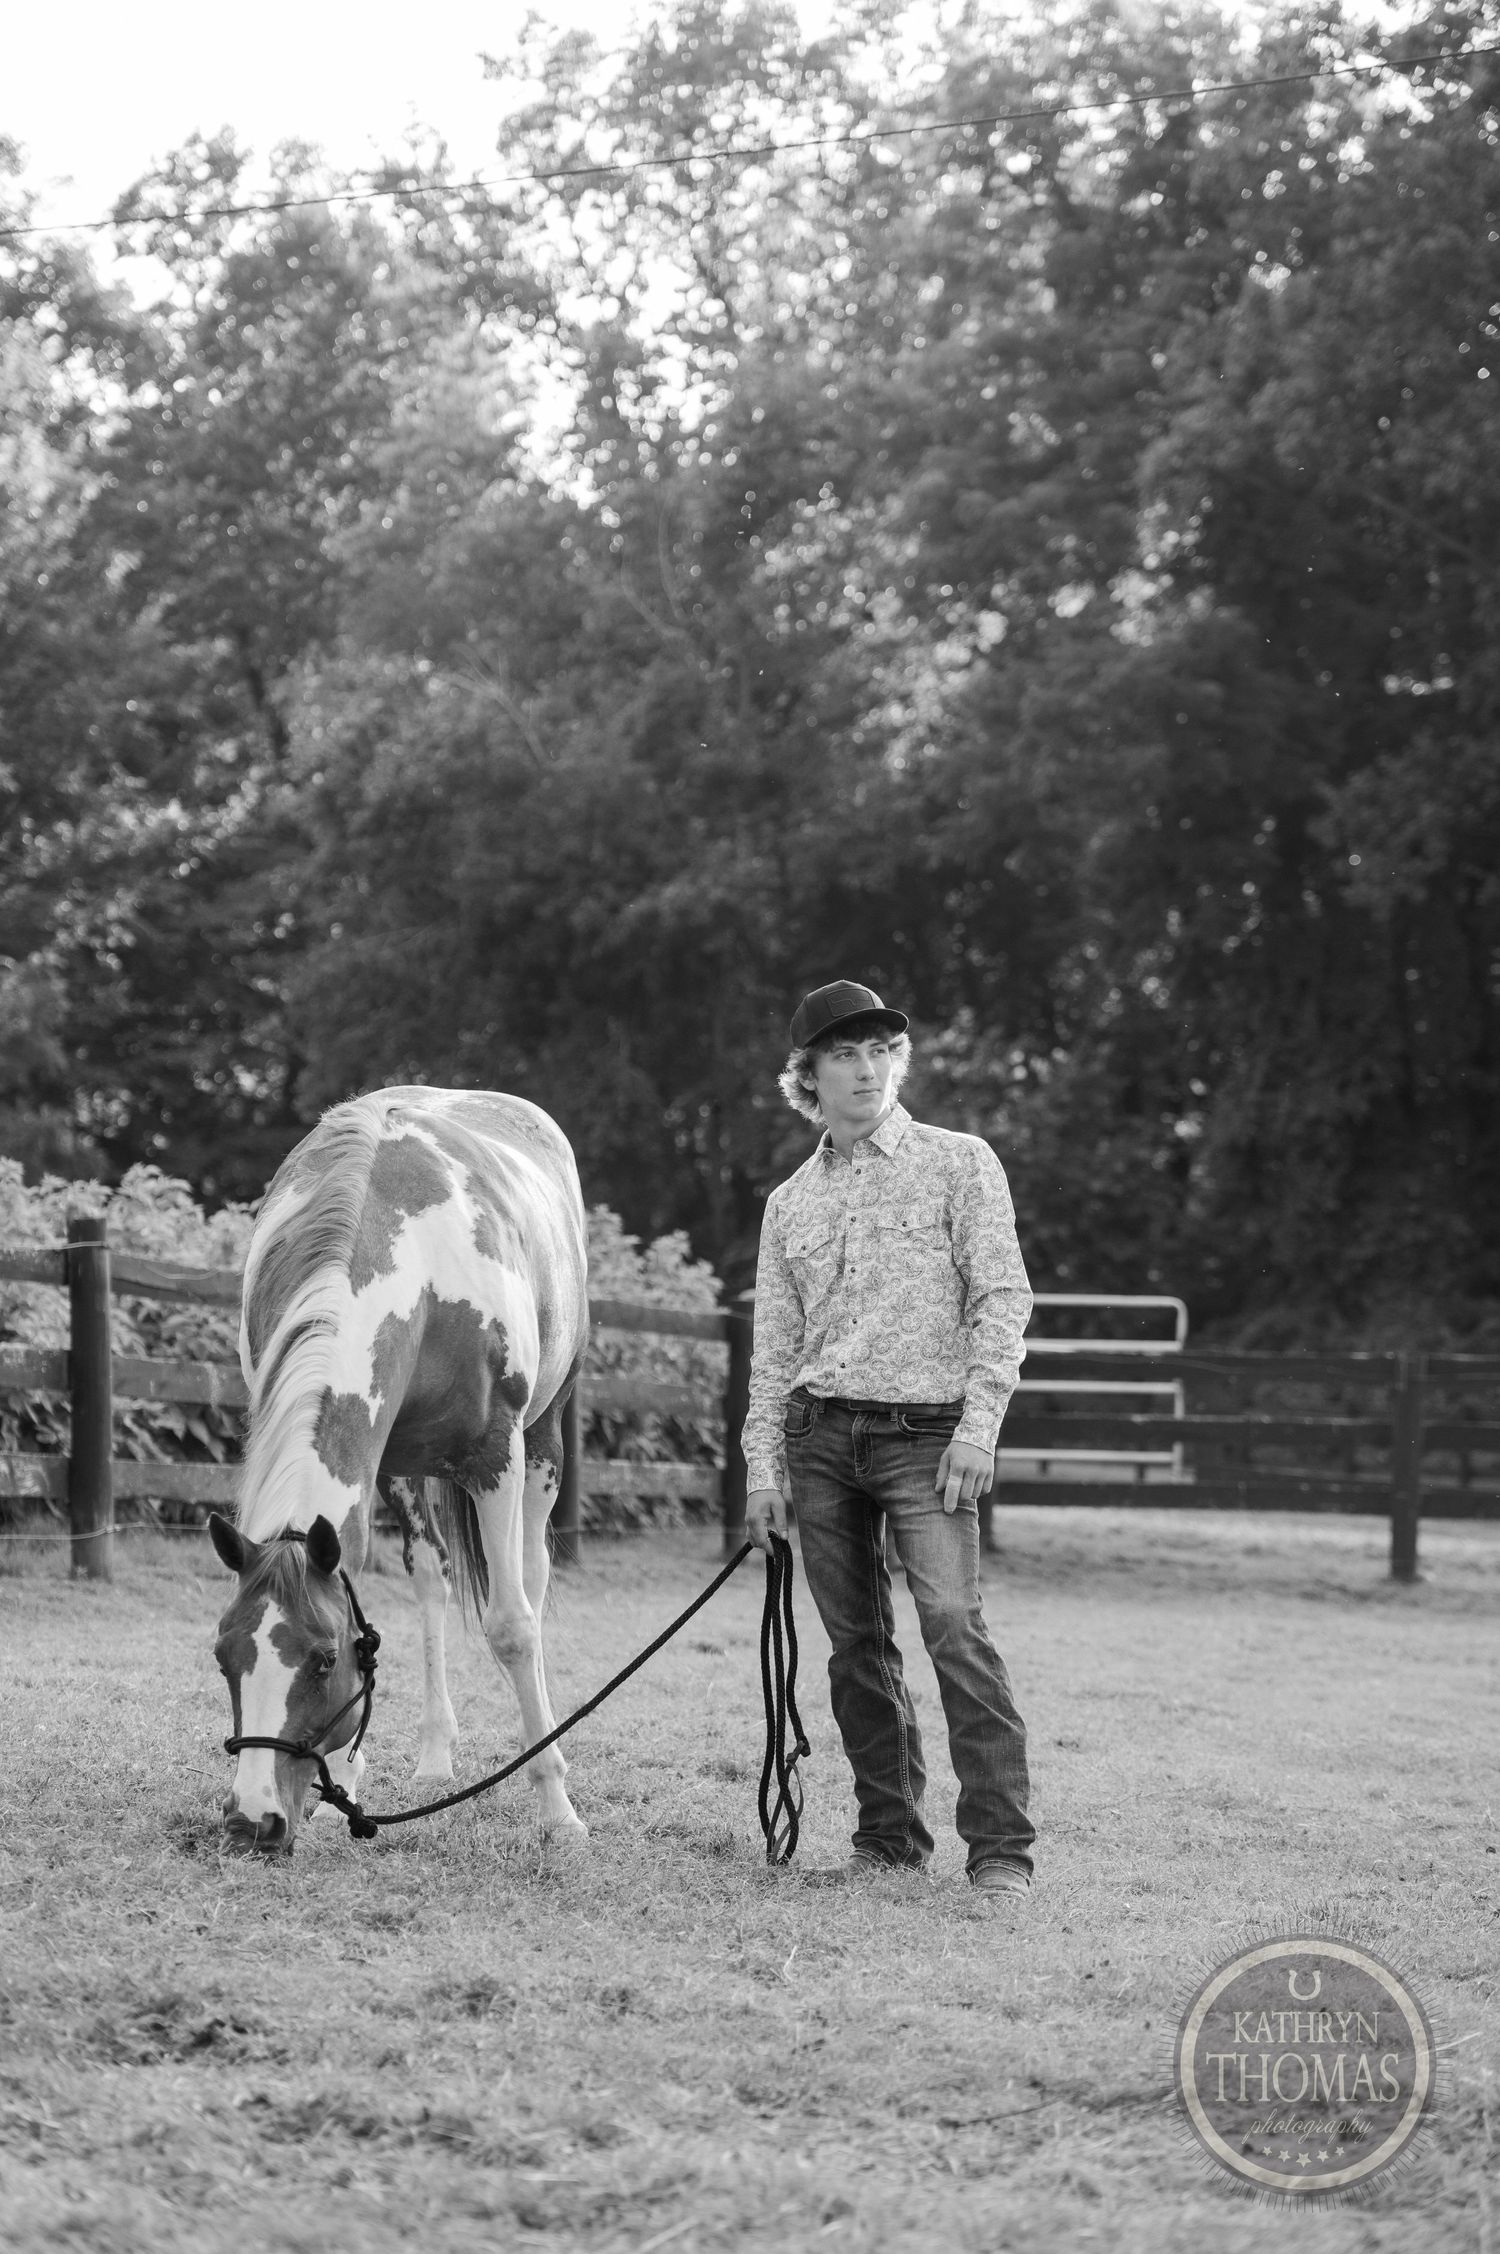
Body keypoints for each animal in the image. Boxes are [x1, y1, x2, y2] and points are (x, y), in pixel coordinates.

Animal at [209, 1086, 588, 1856]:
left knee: (531, 1583)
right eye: (224, 1656)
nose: (251, 1822)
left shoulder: (495, 1455)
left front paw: (557, 1806)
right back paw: (434, 1755)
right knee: (431, 1580)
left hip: (541, 1443)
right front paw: (348, 1789)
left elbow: (512, 1626)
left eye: (324, 1660)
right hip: (407, 1473)